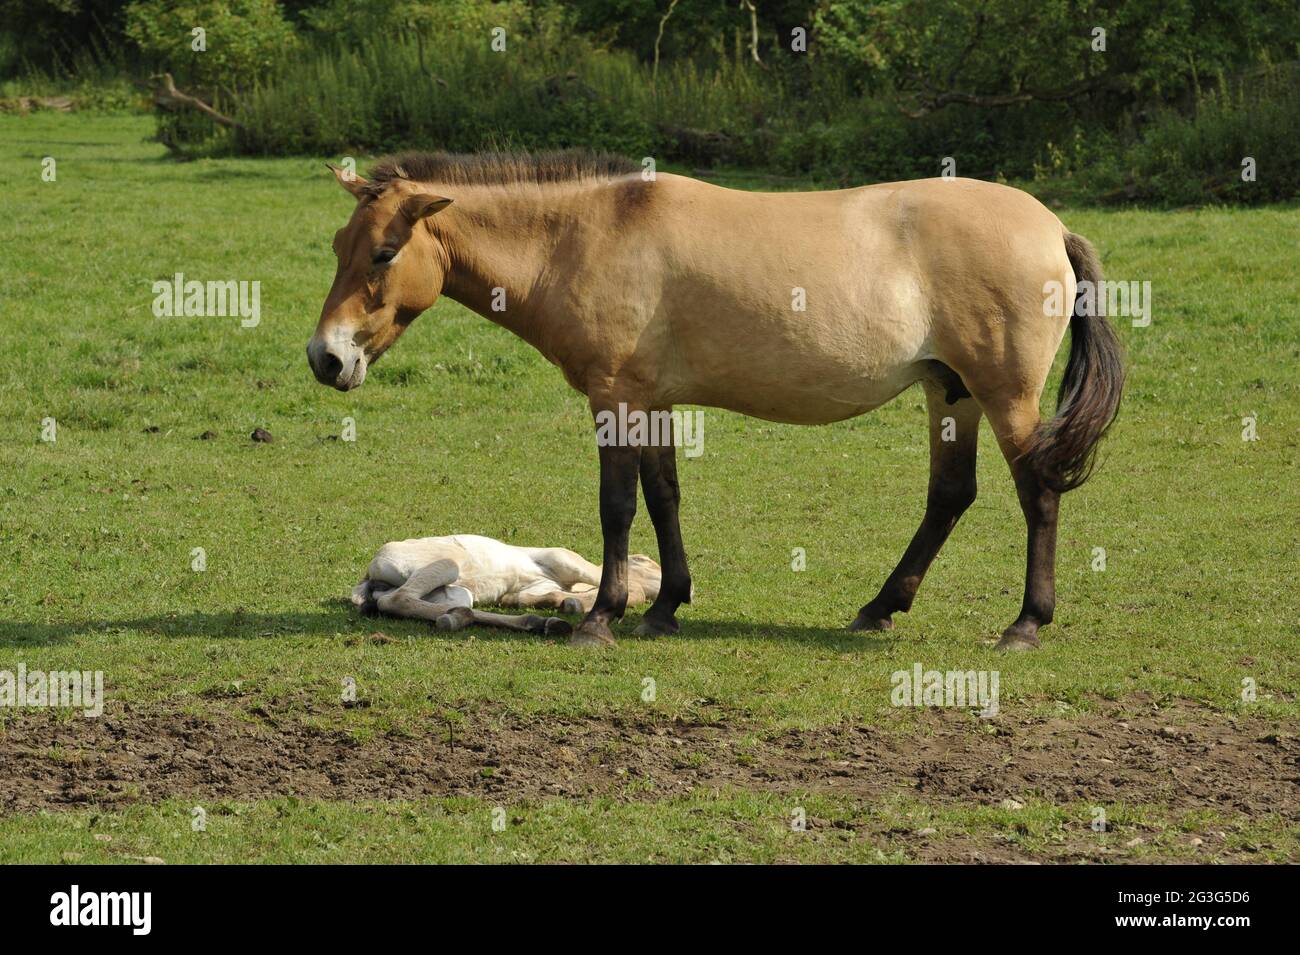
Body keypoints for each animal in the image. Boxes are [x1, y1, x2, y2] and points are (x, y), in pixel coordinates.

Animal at [352, 533, 662, 636]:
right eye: (647, 560)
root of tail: (369, 574)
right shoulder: (561, 556)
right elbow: (626, 586)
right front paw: (572, 604)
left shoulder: (535, 587)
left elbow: (529, 596)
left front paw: (564, 603)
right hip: (448, 563)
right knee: (394, 600)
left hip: (455, 593)